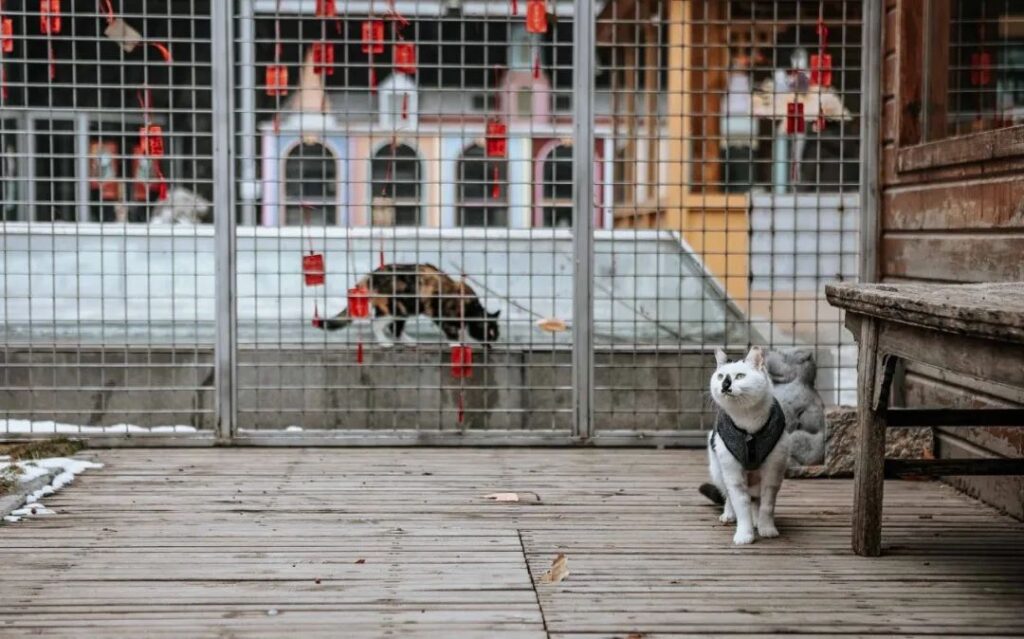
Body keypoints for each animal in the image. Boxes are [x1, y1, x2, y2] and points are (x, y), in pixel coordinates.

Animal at [315, 262, 499, 346]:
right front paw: (457, 344)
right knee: (378, 324)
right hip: (393, 307)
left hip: (401, 309)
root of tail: (368, 278)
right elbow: (452, 331)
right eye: (489, 333)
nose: (491, 347)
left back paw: (408, 340)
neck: (471, 308)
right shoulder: (444, 314)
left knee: (395, 328)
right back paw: (384, 342)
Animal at [700, 346, 794, 544]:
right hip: (719, 472)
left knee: (756, 501)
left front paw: (767, 528)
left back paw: (757, 520)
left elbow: (767, 505)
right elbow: (740, 505)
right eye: (721, 376)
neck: (747, 422)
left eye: (740, 376)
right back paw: (729, 515)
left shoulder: (773, 471)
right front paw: (744, 534)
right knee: (728, 496)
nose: (725, 385)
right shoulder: (733, 473)